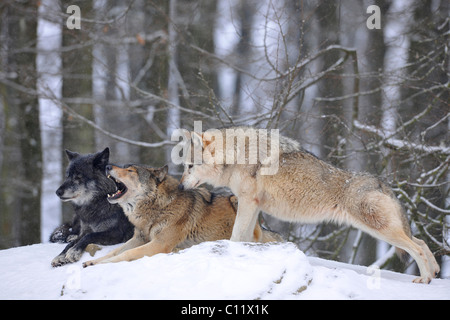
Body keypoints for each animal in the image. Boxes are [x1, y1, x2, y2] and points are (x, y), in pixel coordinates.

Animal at [83, 164, 282, 266]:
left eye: (131, 170)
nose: (108, 166)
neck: (158, 207)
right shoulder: (140, 238)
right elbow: (116, 251)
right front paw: (92, 262)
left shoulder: (160, 244)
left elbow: (126, 254)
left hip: (239, 200)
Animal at [178, 126, 440, 284]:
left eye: (189, 166)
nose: (180, 187)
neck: (235, 154)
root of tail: (379, 181)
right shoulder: (253, 206)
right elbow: (246, 237)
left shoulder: (248, 203)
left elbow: (235, 235)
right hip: (385, 230)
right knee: (421, 242)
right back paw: (435, 272)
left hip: (380, 230)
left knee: (416, 248)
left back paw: (425, 279)